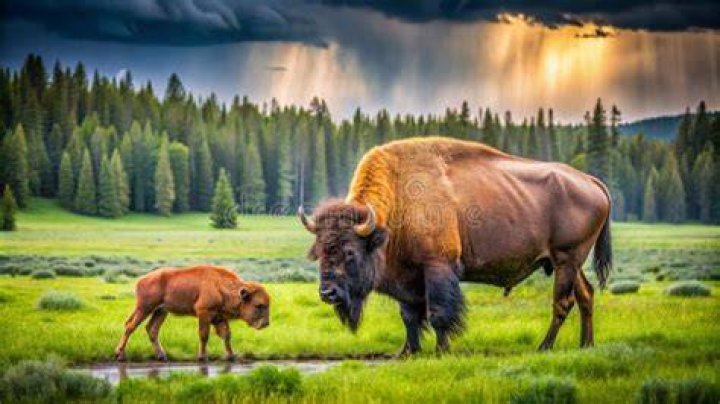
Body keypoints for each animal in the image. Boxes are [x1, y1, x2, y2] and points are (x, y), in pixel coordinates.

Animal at [114, 265, 271, 362]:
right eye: (259, 305)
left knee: (152, 329)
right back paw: (120, 355)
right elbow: (204, 335)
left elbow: (226, 335)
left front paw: (231, 356)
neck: (221, 286)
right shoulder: (204, 313)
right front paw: (202, 357)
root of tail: (141, 280)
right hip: (144, 308)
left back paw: (161, 356)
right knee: (130, 326)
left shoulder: (219, 317)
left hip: (161, 311)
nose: (266, 324)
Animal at [298, 137, 611, 355]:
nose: (327, 293)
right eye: (319, 252)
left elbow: (438, 314)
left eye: (350, 252)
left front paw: (442, 351)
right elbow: (409, 317)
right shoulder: (405, 277)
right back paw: (586, 345)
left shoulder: (437, 266)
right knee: (586, 295)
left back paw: (544, 347)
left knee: (563, 302)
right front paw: (407, 352)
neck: (399, 200)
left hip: (566, 259)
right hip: (570, 263)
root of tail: (590, 180)